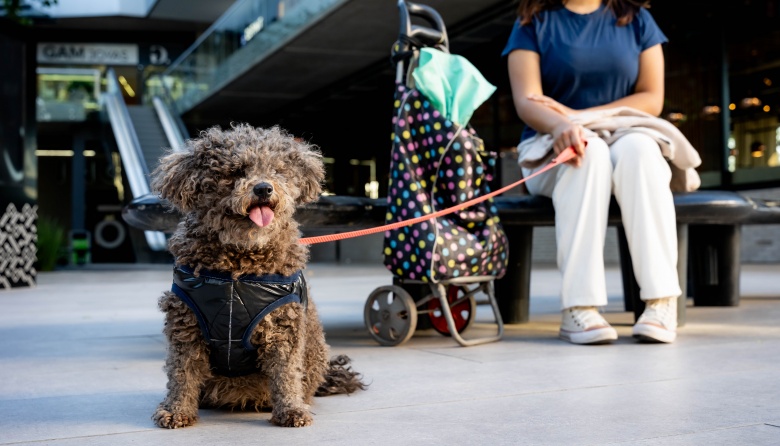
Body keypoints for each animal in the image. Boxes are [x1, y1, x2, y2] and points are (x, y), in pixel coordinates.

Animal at [150, 123, 366, 428]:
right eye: (236, 171)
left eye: (276, 169)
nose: (264, 188)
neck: (238, 267)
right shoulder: (186, 325)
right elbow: (182, 372)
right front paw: (176, 410)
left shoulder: (283, 327)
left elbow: (286, 372)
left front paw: (291, 410)